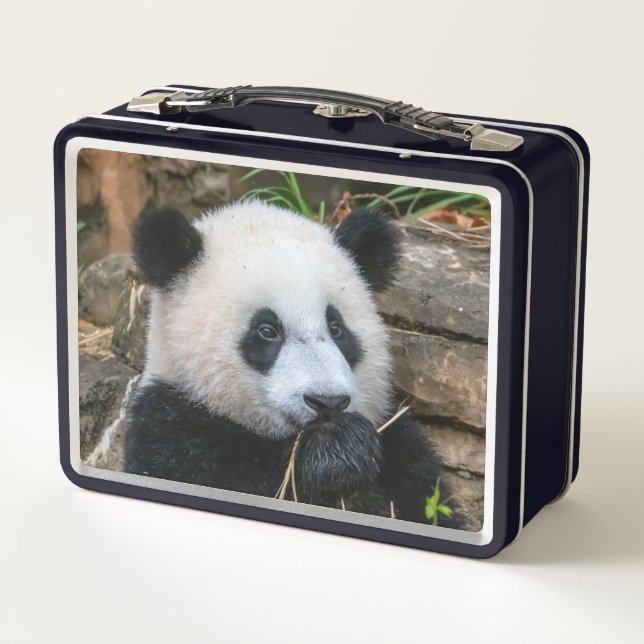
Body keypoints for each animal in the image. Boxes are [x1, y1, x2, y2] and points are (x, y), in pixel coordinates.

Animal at [125, 200, 460, 528]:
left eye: (336, 328)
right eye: (267, 331)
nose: (328, 402)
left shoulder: (399, 442)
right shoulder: (169, 429)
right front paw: (337, 450)